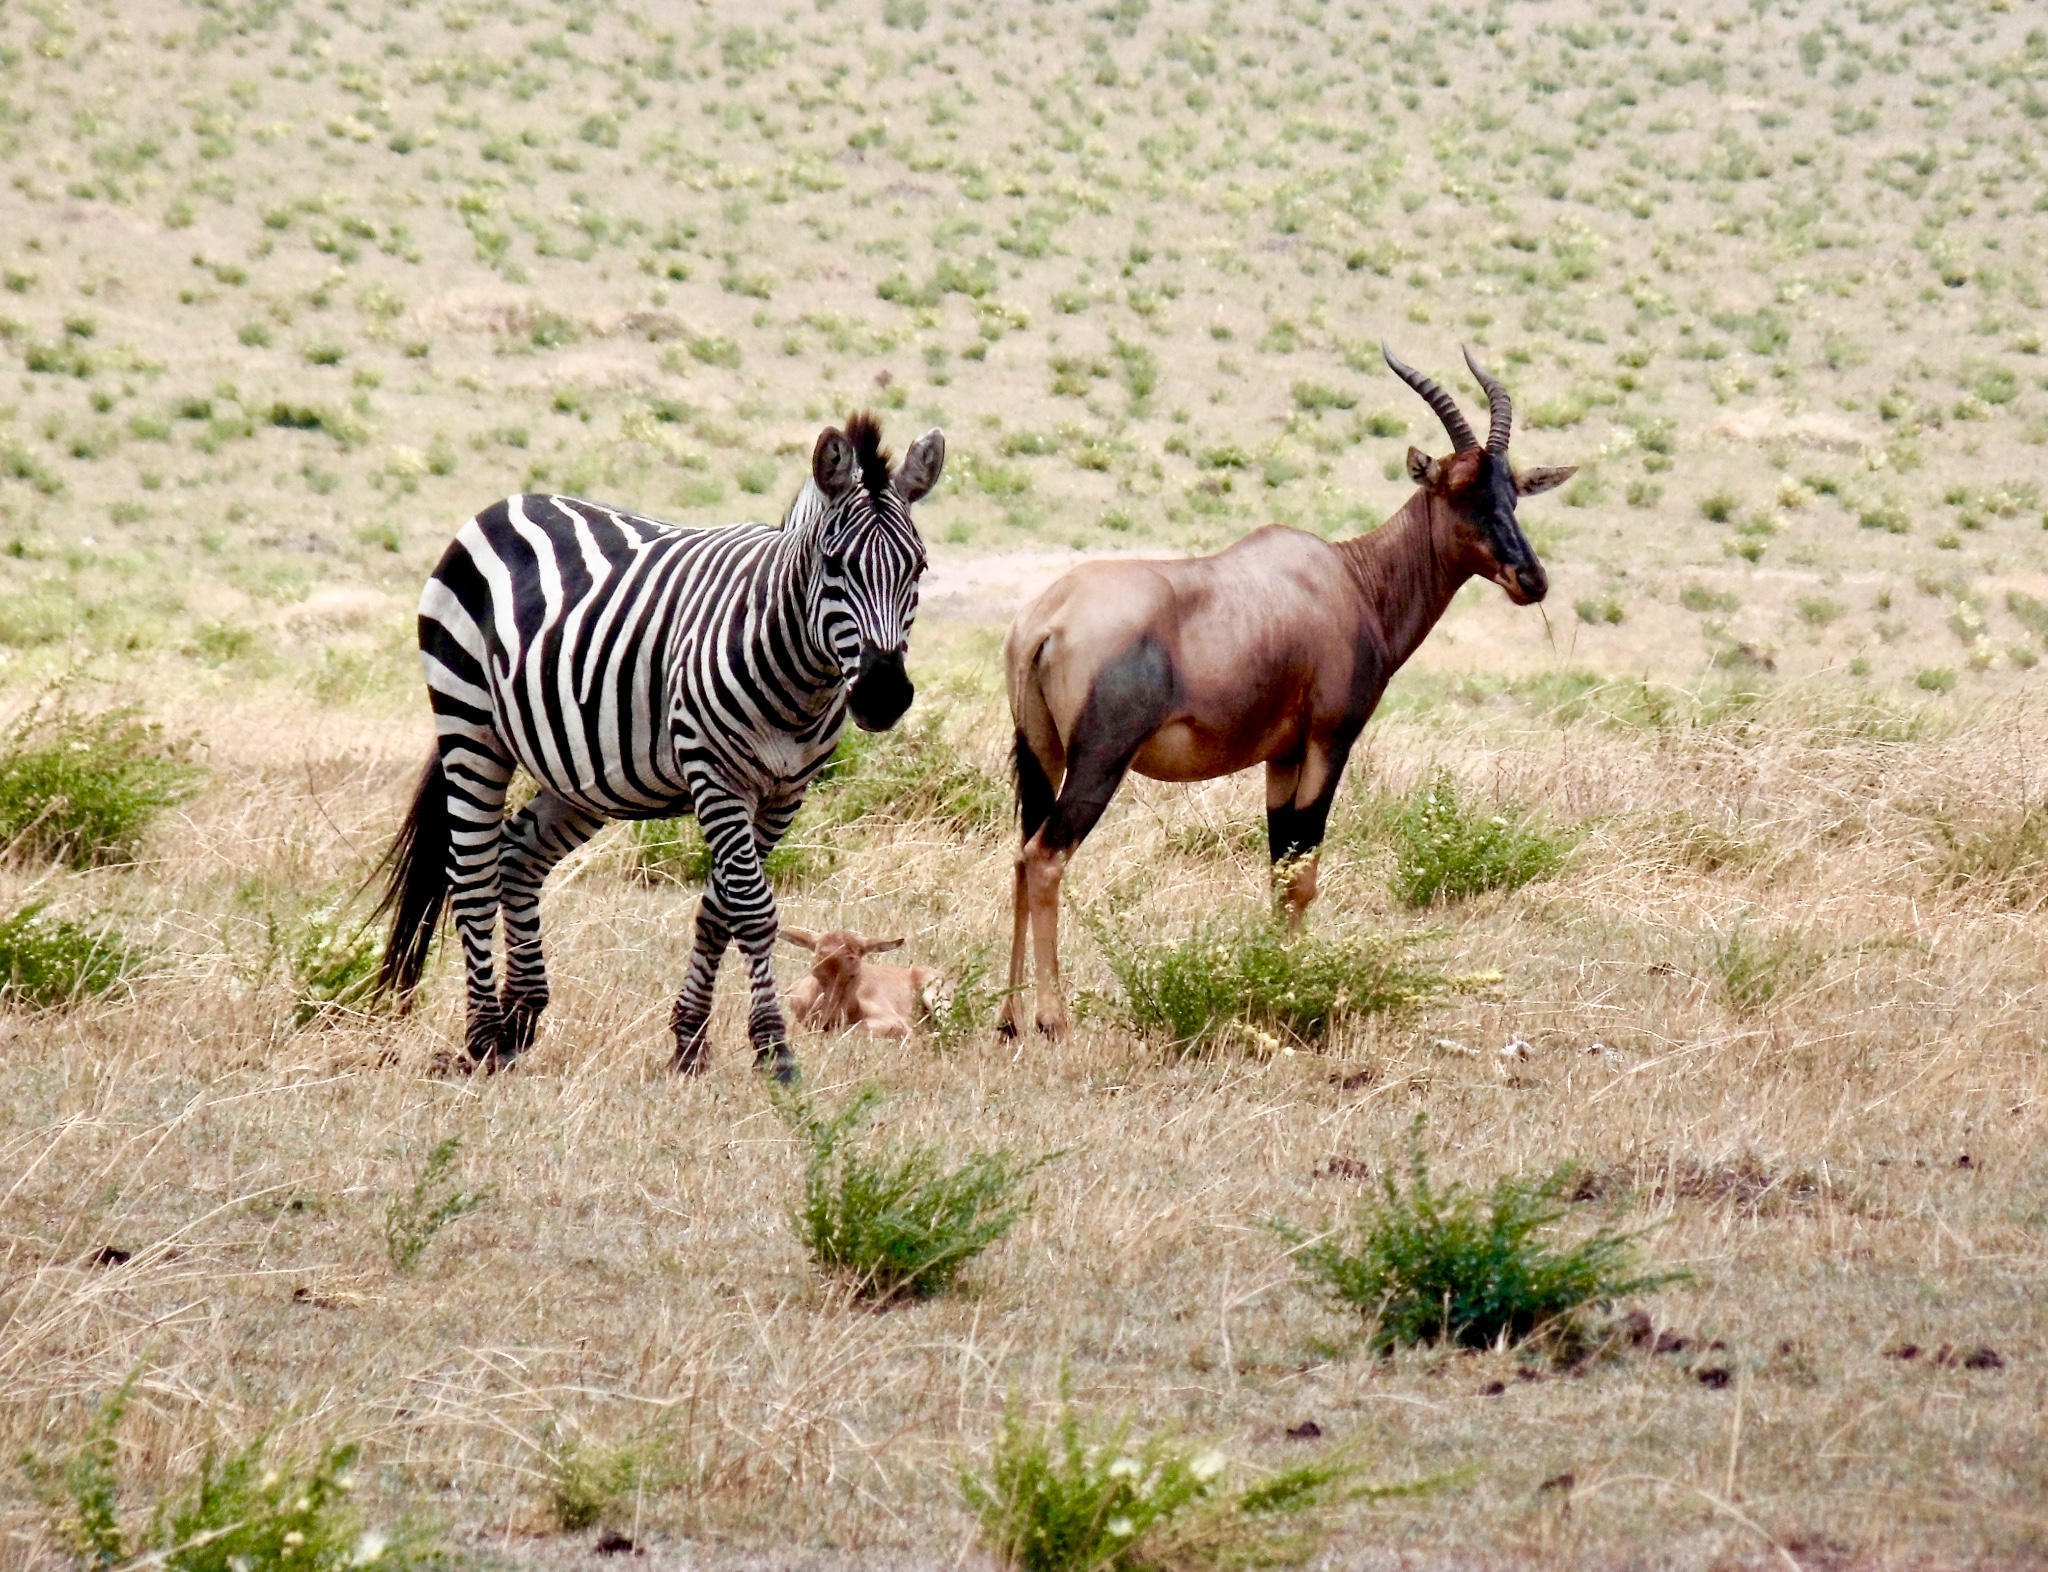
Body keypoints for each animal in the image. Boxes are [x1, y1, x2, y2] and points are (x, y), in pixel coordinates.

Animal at [999, 339, 1572, 1043]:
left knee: (1020, 855)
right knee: (1046, 856)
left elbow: (1279, 867)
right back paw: (1052, 1018)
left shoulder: (1283, 753)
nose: (1531, 578)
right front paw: (1292, 991)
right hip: (1099, 762)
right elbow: (1304, 873)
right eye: (1460, 488)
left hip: (1040, 754)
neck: (1347, 577)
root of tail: (1044, 620)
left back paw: (1009, 1017)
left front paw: (1269, 978)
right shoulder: (1329, 740)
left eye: (1512, 490)